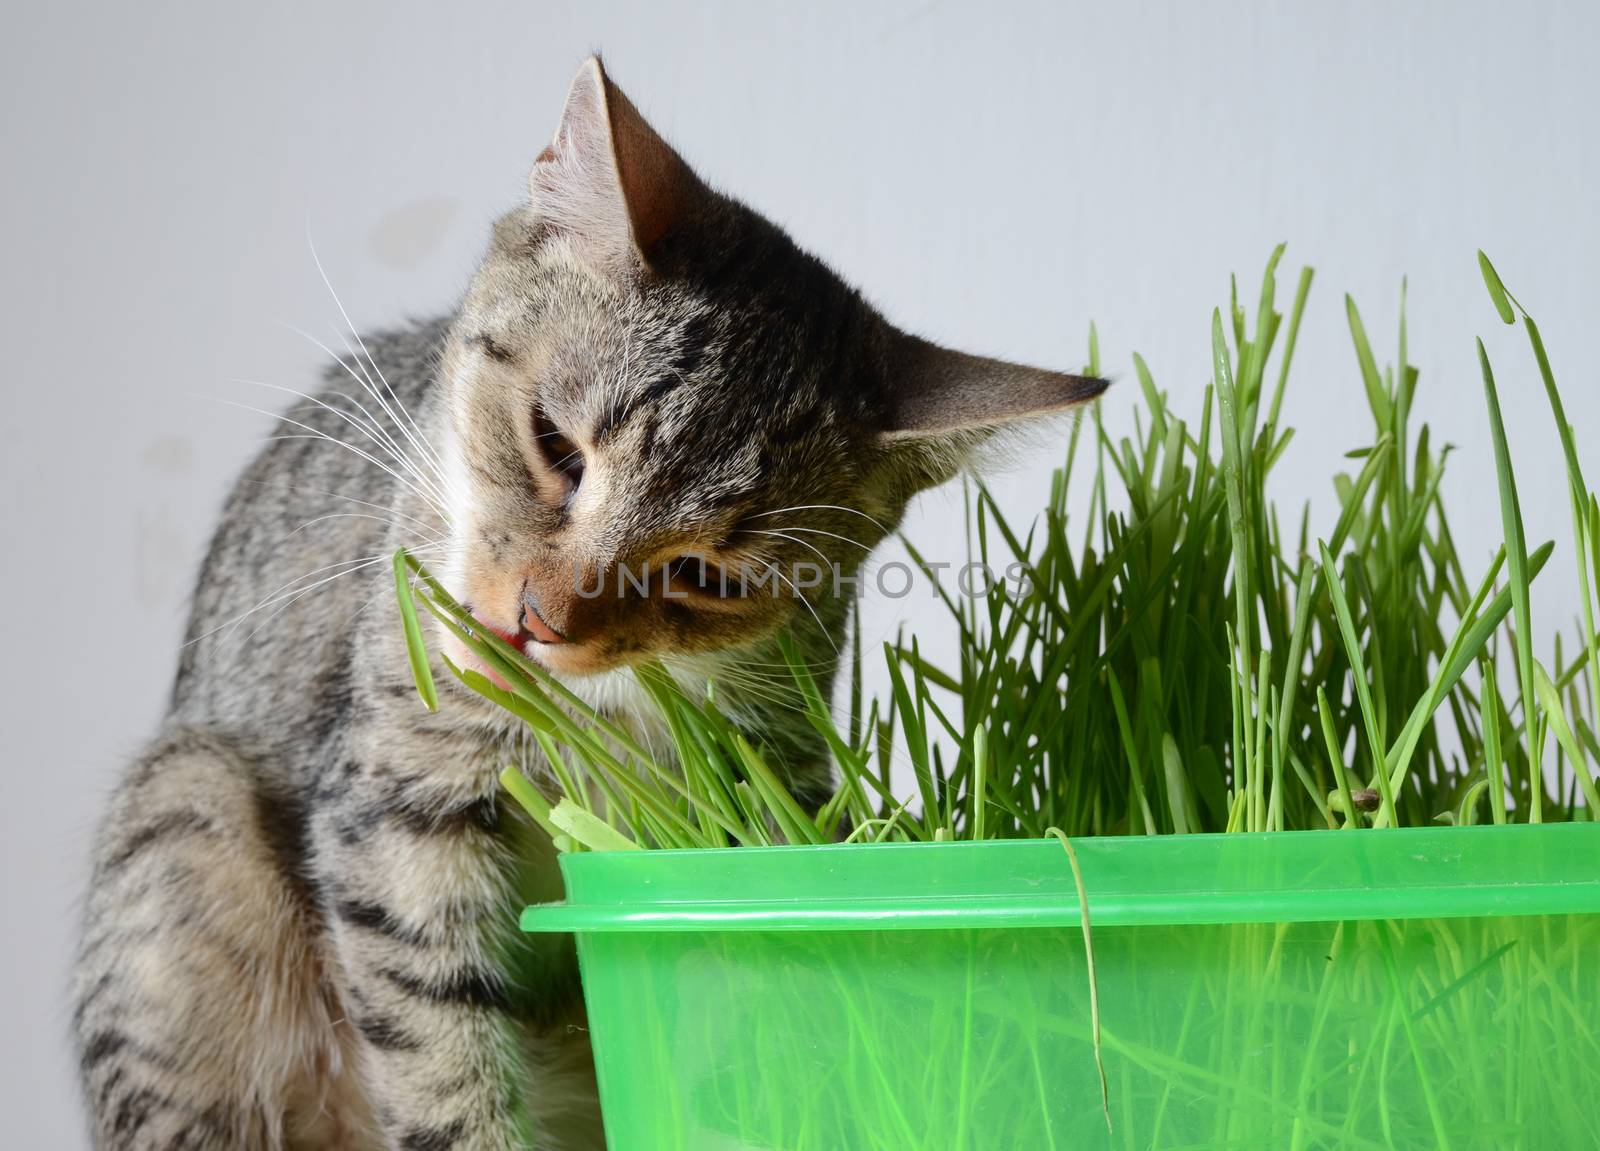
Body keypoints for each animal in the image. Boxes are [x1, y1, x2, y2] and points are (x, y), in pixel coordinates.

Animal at [72, 56, 1100, 1151]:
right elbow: (438, 1049)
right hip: (186, 815)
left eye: (708, 576)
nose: (540, 620)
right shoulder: (399, 797)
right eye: (555, 446)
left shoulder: (769, 790)